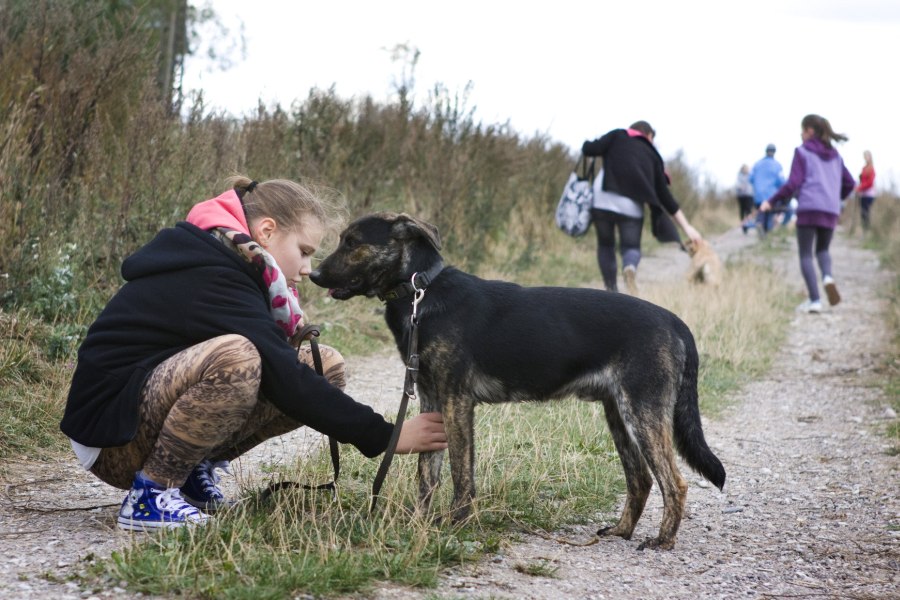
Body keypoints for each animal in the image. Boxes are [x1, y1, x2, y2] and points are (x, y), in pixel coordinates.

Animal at [310, 213, 724, 552]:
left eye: (352, 242)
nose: (313, 276)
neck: (420, 290)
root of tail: (675, 322)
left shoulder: (456, 402)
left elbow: (461, 473)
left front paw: (456, 521)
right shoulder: (432, 403)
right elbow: (427, 473)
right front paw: (419, 522)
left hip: (642, 413)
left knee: (674, 481)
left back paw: (663, 541)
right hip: (619, 416)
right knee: (641, 478)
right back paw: (622, 531)